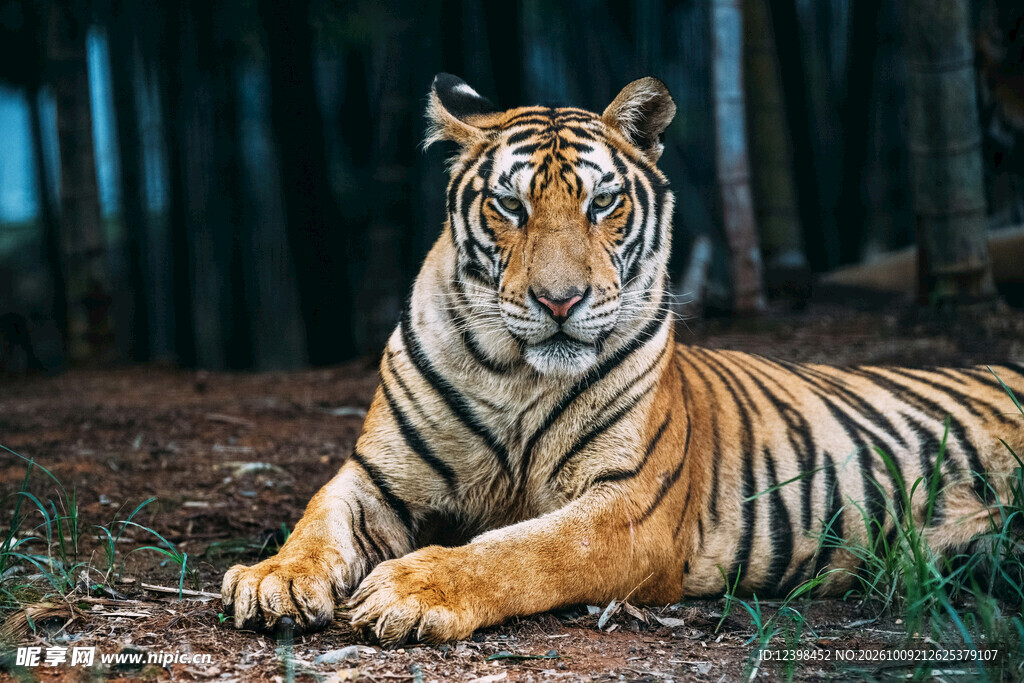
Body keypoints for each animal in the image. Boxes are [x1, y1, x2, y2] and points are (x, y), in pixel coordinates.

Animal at [221, 73, 1024, 646]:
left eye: (603, 203)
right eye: (510, 207)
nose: (559, 300)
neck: (517, 374)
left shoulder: (630, 507)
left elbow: (520, 549)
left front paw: (412, 589)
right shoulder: (377, 474)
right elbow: (317, 518)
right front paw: (272, 579)